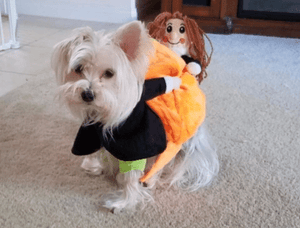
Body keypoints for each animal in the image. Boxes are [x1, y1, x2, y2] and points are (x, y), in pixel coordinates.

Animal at [52, 21, 218, 212]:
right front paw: (94, 166)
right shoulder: (91, 130)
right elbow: (94, 149)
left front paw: (124, 201)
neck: (105, 113)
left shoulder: (137, 143)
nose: (87, 94)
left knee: (168, 163)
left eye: (109, 73)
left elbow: (131, 176)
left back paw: (151, 178)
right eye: (78, 69)